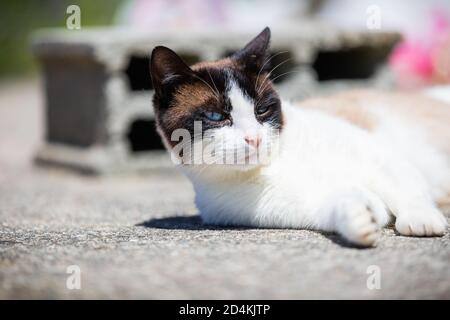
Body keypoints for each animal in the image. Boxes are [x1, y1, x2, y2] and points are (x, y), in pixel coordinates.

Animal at [150, 27, 450, 248]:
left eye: (262, 110)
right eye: (215, 116)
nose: (254, 138)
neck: (274, 165)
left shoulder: (378, 156)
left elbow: (403, 187)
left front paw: (421, 218)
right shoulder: (298, 204)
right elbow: (346, 205)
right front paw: (358, 221)